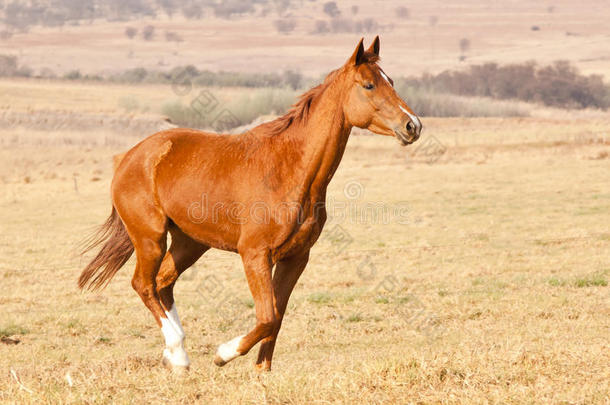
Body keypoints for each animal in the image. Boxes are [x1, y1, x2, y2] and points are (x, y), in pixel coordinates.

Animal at [78, 36, 420, 370]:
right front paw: (223, 353)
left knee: (164, 283)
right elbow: (267, 317)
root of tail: (129, 157)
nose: (413, 125)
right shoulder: (255, 254)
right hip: (151, 239)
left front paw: (260, 372)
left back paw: (175, 356)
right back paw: (178, 352)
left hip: (190, 242)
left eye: (391, 81)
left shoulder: (295, 258)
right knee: (144, 284)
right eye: (369, 85)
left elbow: (276, 318)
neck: (289, 169)